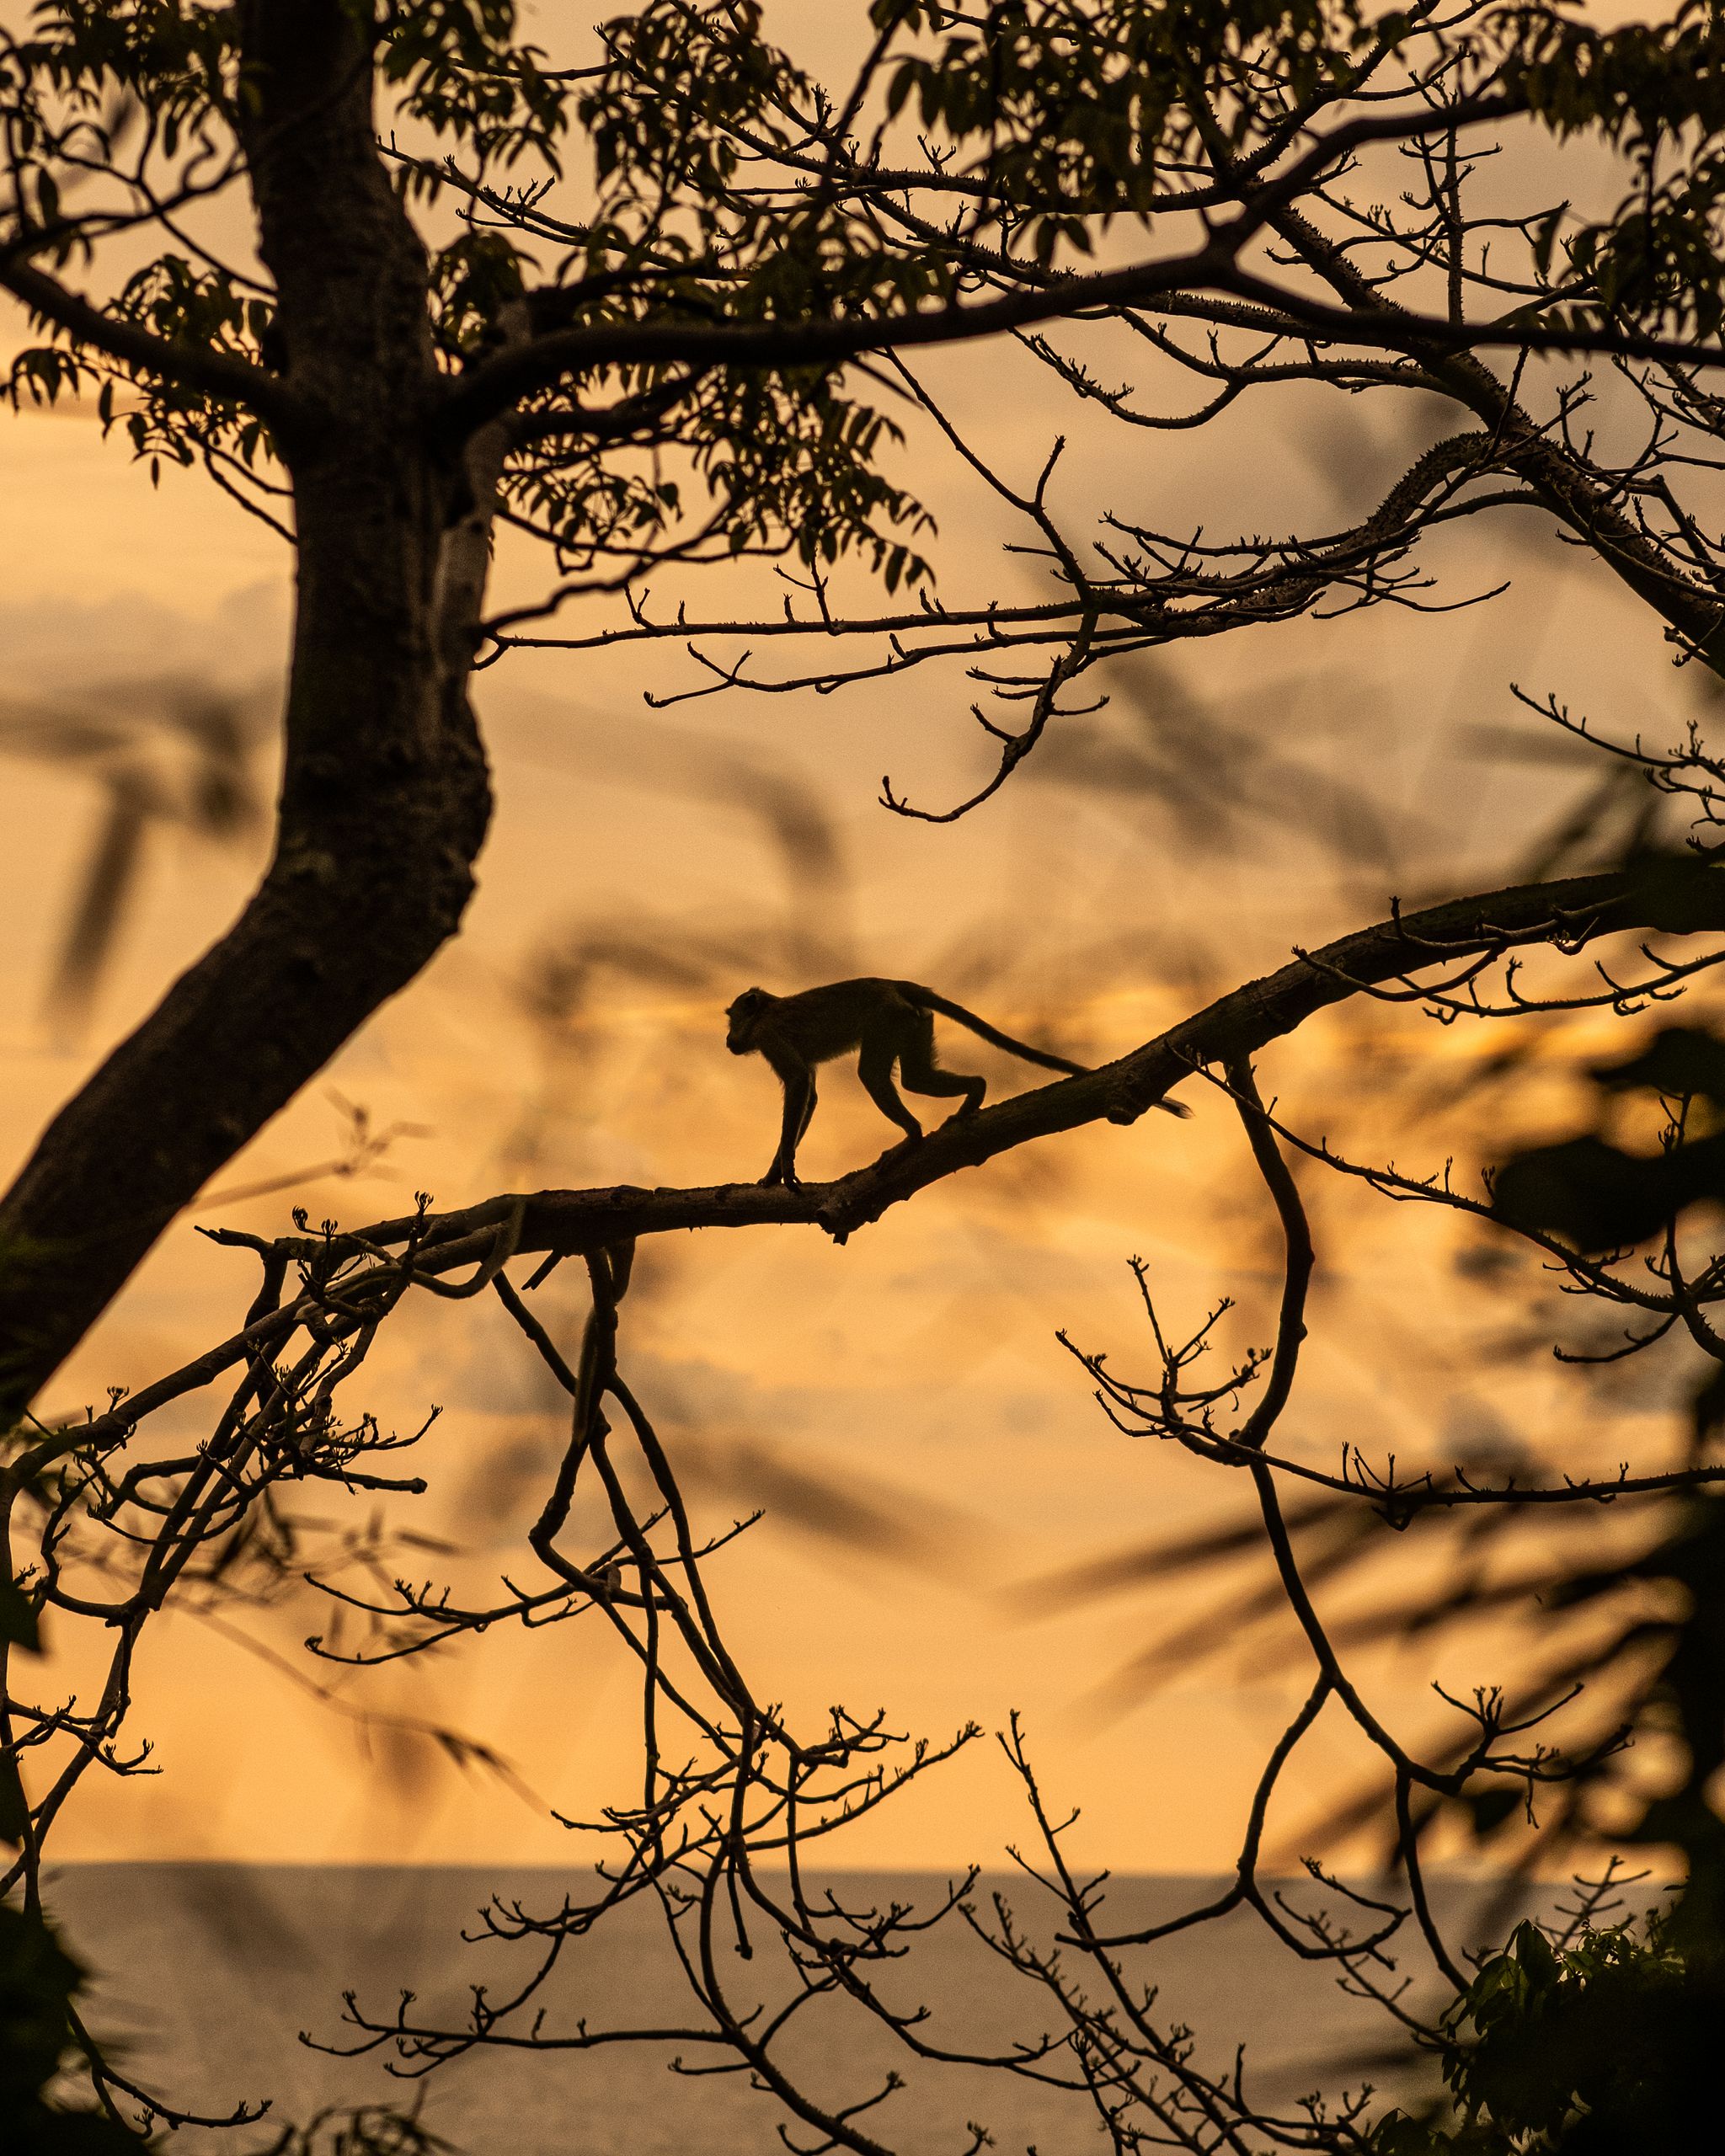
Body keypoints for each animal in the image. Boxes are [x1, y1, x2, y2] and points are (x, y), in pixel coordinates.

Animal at [724, 983, 1190, 1190]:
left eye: (732, 1019)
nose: (728, 1039)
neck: (765, 1011)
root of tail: (892, 984)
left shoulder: (768, 1035)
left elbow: (799, 1083)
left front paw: (785, 1168)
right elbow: (812, 1093)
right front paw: (774, 1172)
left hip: (886, 1018)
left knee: (874, 1075)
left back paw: (913, 1136)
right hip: (911, 1020)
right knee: (914, 1077)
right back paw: (975, 1092)